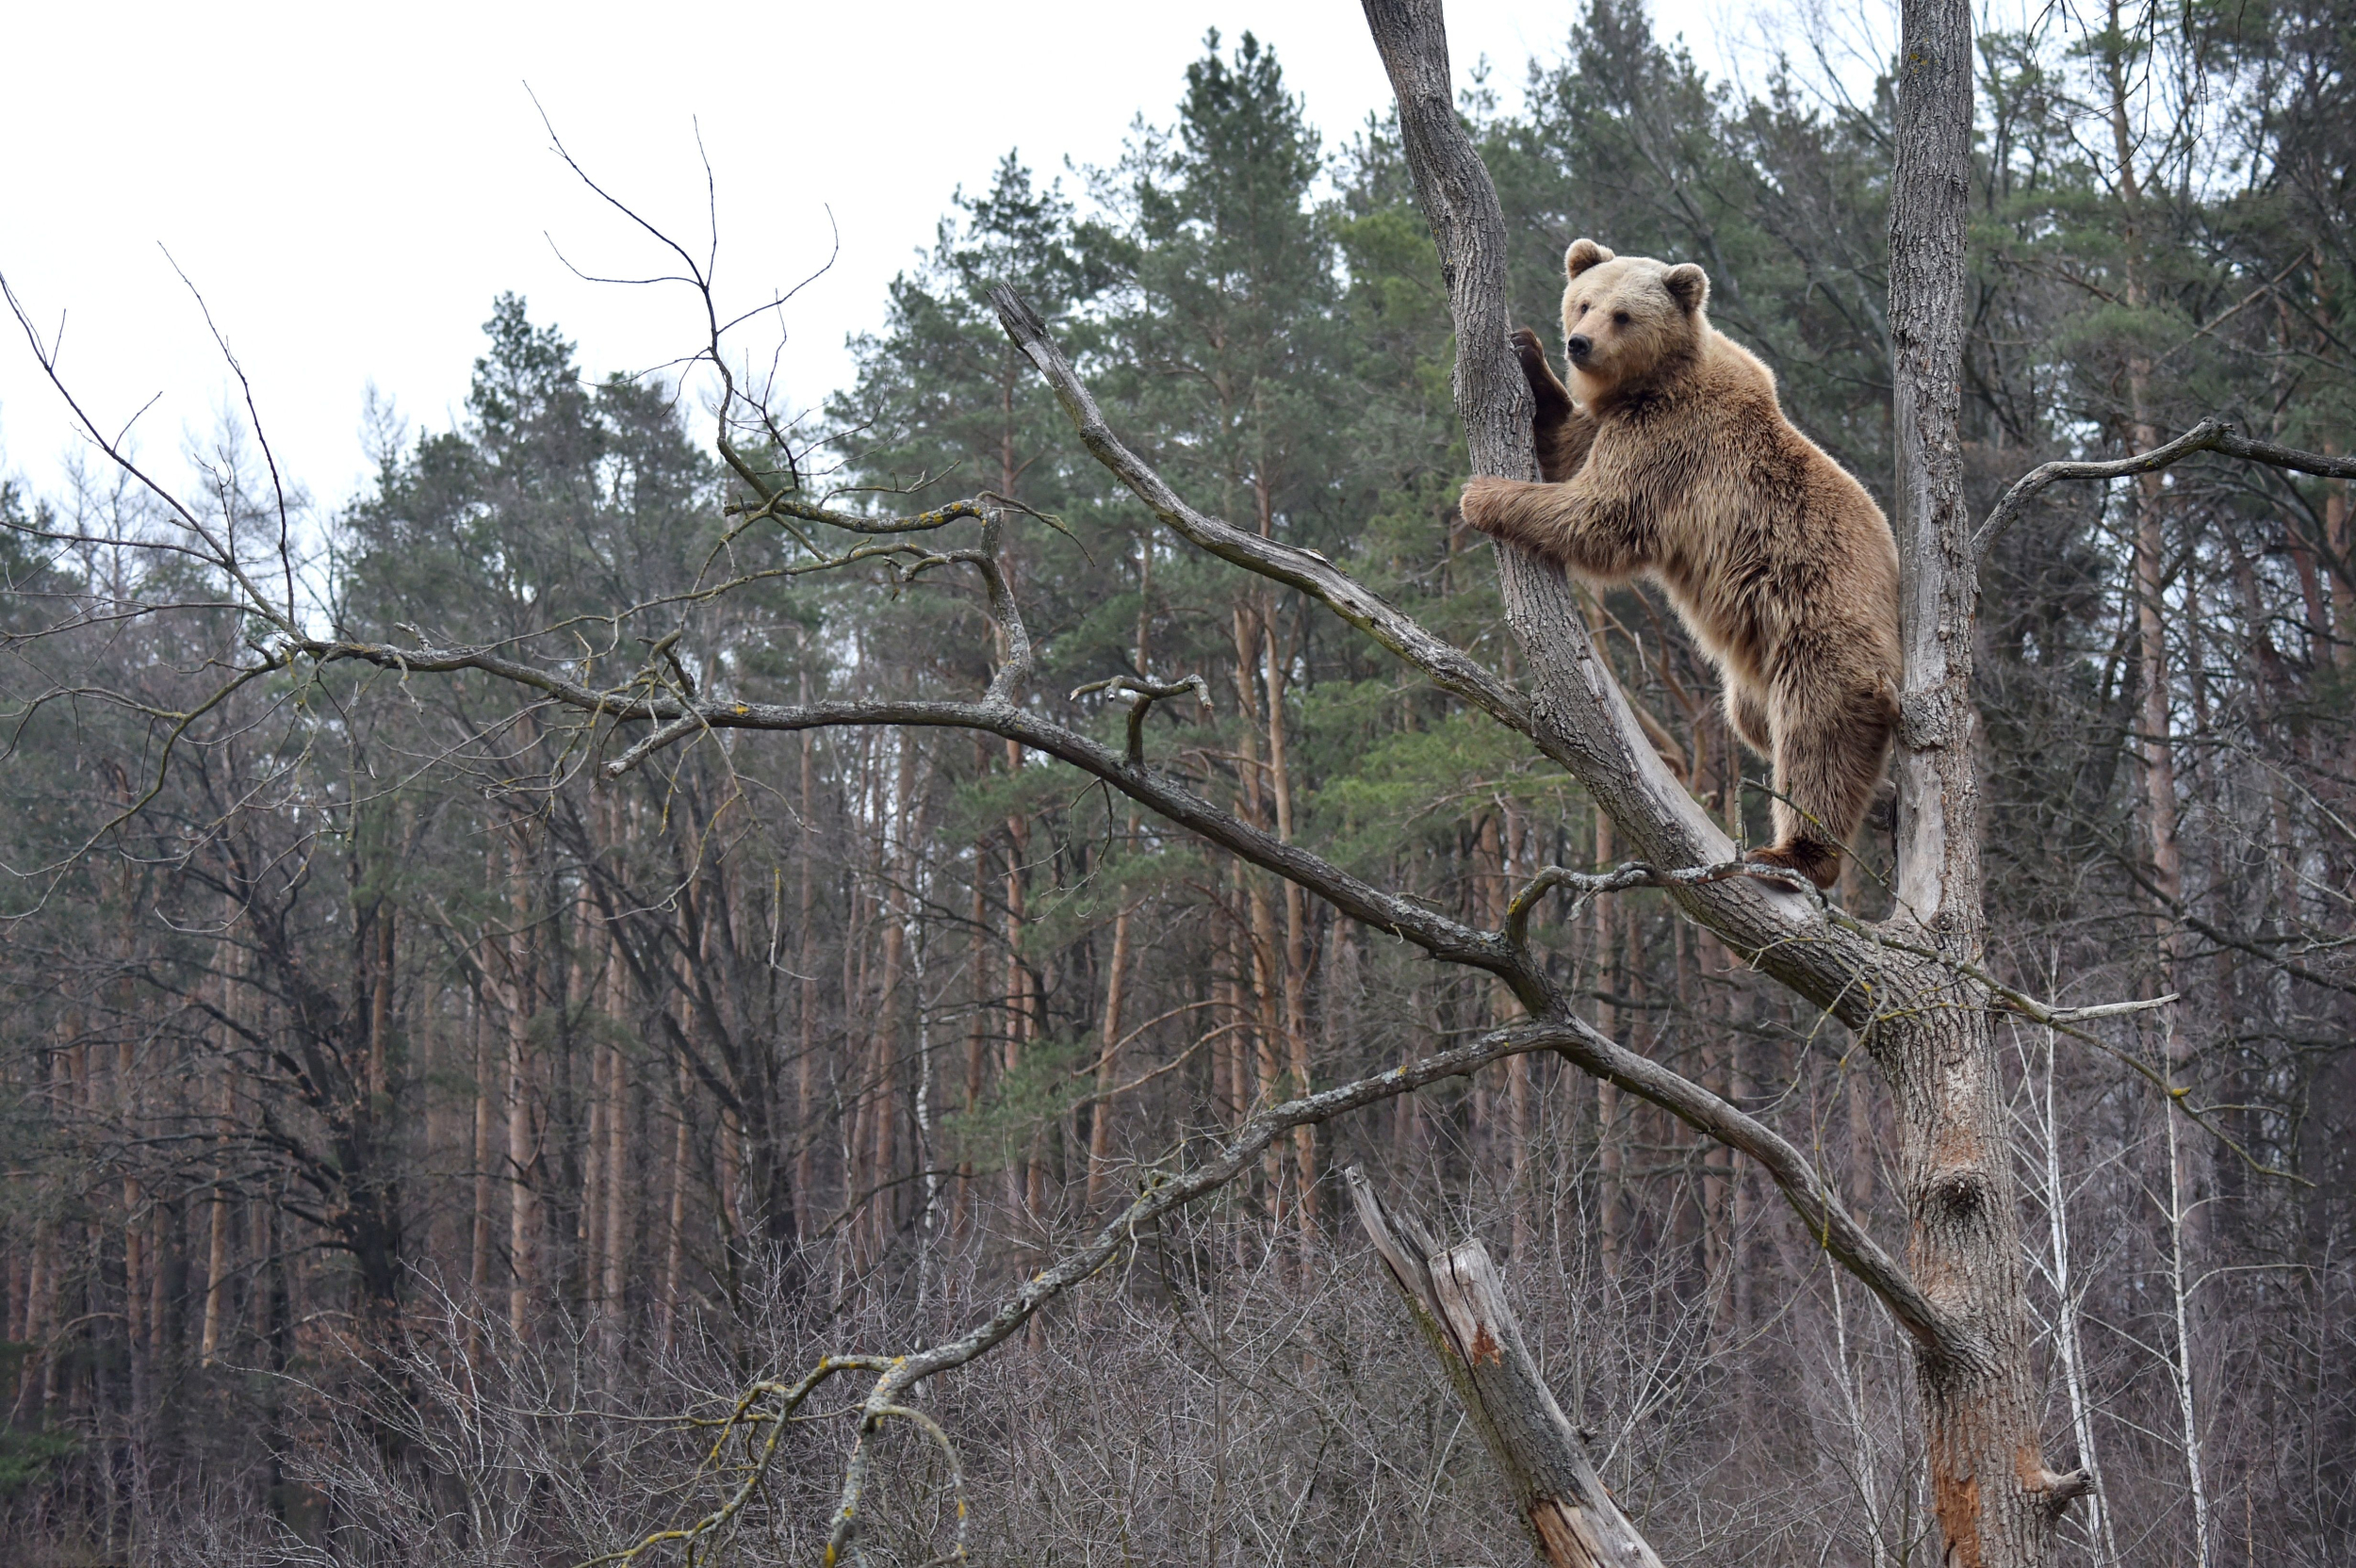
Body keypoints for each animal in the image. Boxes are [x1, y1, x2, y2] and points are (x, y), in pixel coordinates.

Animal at [1461, 237, 1904, 885]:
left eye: (1623, 315)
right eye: (1584, 302)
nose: (1579, 343)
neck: (1653, 381)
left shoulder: (1670, 442)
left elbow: (1601, 514)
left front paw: (1482, 495)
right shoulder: (1616, 421)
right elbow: (1567, 448)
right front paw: (1526, 355)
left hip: (1823, 626)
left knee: (1818, 738)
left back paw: (1795, 852)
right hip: (1755, 676)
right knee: (1757, 723)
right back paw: (1884, 799)